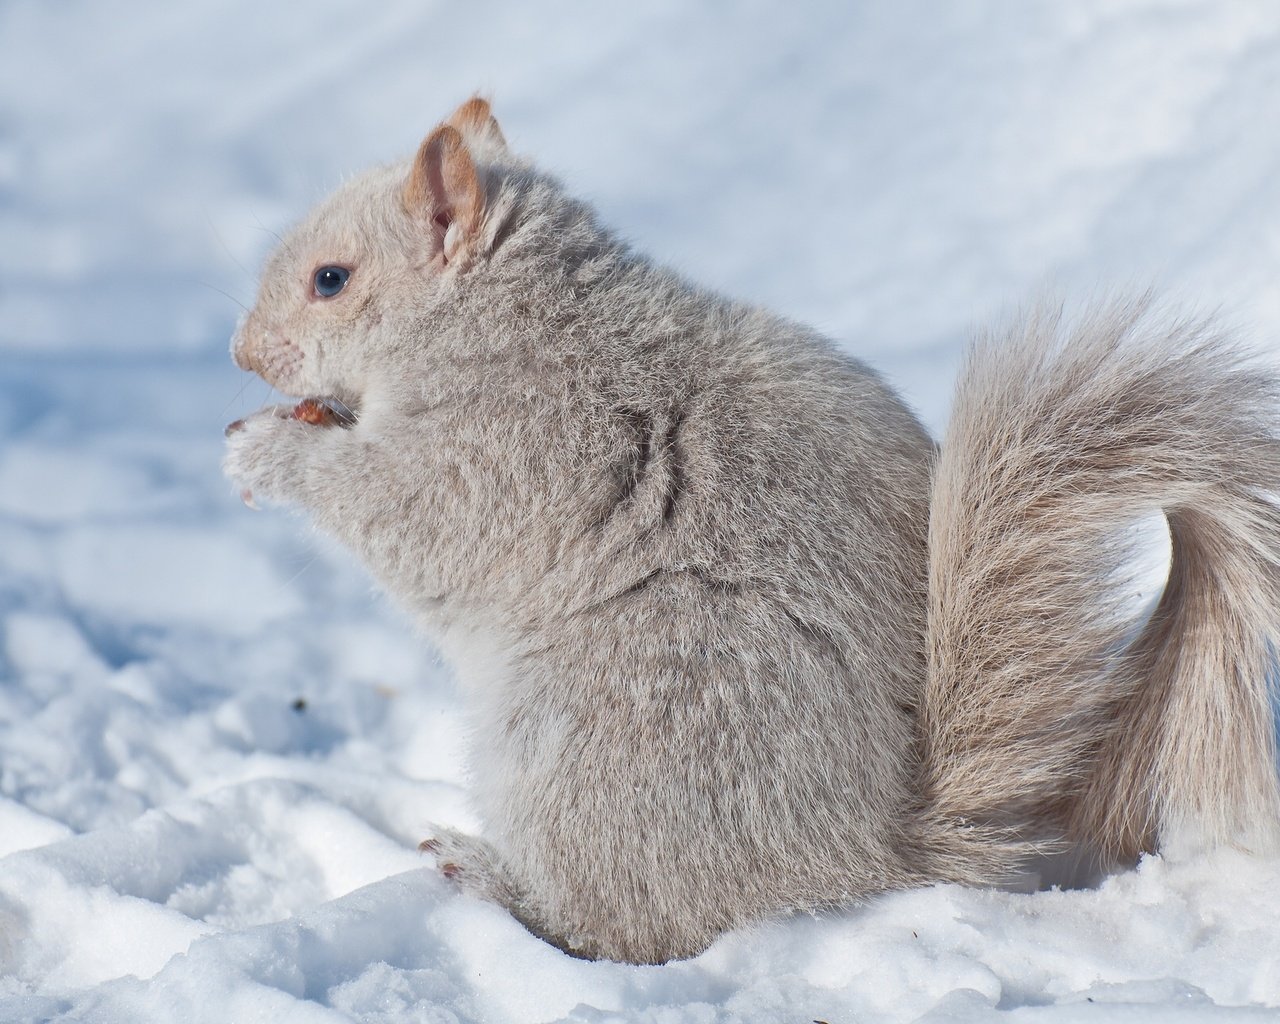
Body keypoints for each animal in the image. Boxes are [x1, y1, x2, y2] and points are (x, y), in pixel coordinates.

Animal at [222, 94, 1280, 962]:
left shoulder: (518, 447)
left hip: (609, 733)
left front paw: (262, 452)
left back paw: (491, 879)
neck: (503, 321)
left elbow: (409, 515)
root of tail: (871, 848)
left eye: (330, 279)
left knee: (624, 926)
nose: (239, 353)